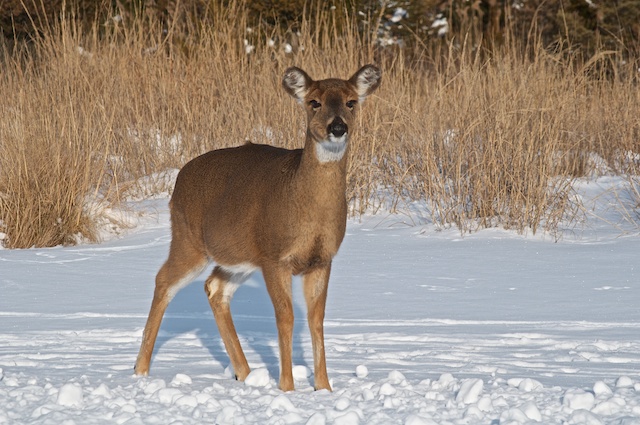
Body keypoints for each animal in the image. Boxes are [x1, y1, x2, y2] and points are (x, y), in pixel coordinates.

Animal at [134, 65, 381, 392]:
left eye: (351, 101)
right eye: (314, 102)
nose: (338, 127)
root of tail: (179, 178)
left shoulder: (322, 259)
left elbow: (316, 319)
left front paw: (324, 388)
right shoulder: (274, 257)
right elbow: (285, 317)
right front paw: (287, 387)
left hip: (239, 257)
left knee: (215, 287)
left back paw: (245, 373)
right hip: (189, 240)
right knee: (164, 280)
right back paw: (140, 370)